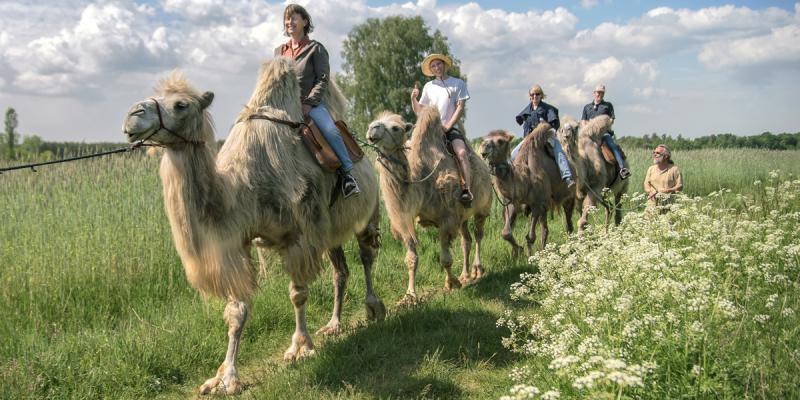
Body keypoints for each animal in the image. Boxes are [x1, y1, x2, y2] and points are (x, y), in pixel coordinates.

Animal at [120, 57, 390, 396]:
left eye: (181, 104)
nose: (132, 115)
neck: (243, 187)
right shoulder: (239, 241)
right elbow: (237, 311)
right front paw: (225, 377)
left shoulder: (298, 235)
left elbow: (298, 294)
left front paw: (299, 347)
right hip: (329, 233)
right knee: (340, 272)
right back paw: (334, 324)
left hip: (368, 211)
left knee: (366, 256)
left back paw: (374, 308)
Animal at [366, 109, 490, 304]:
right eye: (374, 121)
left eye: (395, 128)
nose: (372, 128)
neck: (420, 185)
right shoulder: (405, 220)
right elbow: (411, 258)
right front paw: (409, 296)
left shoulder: (447, 218)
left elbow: (445, 258)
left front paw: (451, 284)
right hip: (462, 216)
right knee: (466, 240)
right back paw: (465, 275)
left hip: (483, 207)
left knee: (478, 234)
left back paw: (477, 270)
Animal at [482, 123, 576, 258]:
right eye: (484, 138)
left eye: (500, 141)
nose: (483, 147)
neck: (524, 180)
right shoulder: (513, 202)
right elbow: (506, 232)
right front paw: (518, 251)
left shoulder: (536, 204)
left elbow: (530, 236)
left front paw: (529, 256)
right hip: (545, 205)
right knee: (545, 228)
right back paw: (544, 250)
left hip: (568, 195)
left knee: (568, 222)